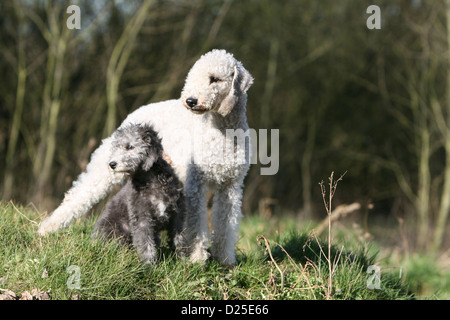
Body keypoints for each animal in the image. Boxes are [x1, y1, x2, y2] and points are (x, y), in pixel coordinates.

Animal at [92, 122, 185, 262]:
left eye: (129, 147)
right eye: (115, 147)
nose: (111, 164)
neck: (151, 180)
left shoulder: (177, 215)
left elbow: (179, 240)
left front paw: (184, 262)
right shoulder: (141, 218)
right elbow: (145, 245)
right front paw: (149, 265)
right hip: (115, 230)